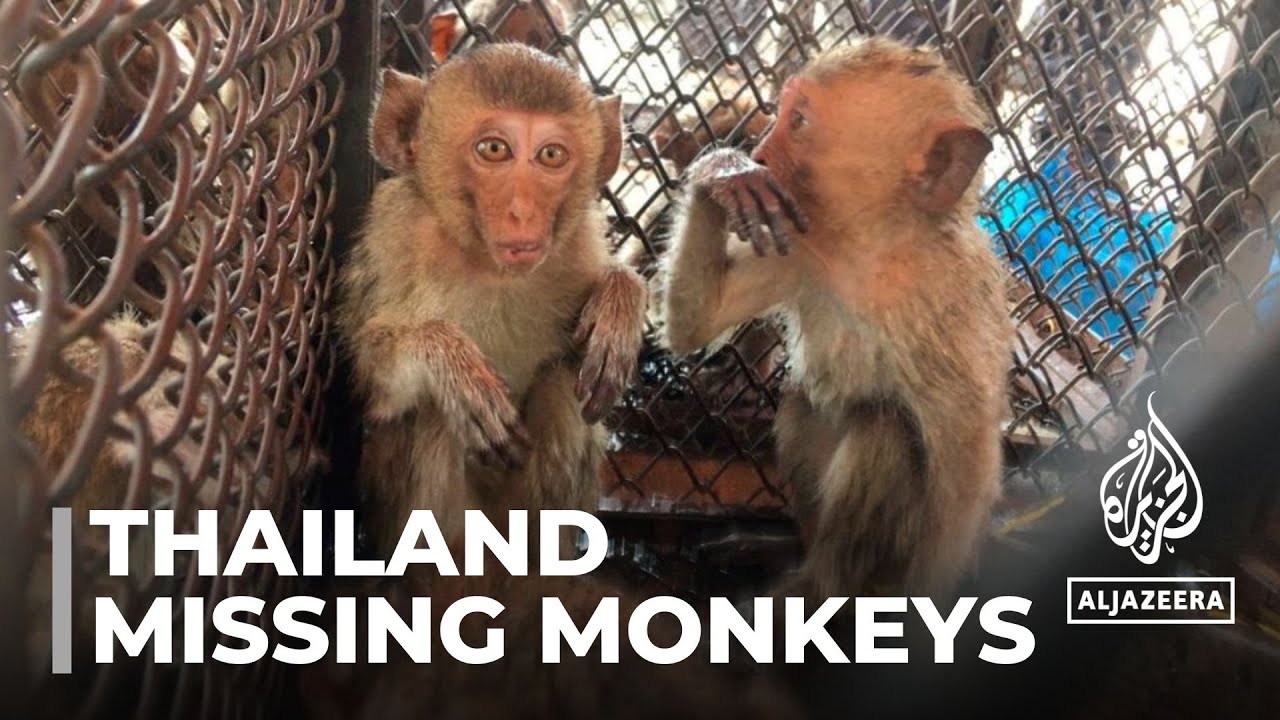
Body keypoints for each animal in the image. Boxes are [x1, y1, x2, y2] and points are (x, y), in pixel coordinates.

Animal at [334, 44, 648, 566]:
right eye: (494, 150)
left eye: (551, 155)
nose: (523, 211)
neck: (487, 264)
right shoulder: (391, 233)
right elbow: (371, 386)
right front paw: (446, 358)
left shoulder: (580, 241)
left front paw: (619, 300)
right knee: (435, 416)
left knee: (560, 388)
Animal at [660, 38, 1013, 600]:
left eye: (799, 120)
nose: (760, 155)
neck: (871, 251)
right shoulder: (800, 244)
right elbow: (694, 322)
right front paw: (724, 176)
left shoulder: (950, 293)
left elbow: (969, 449)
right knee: (804, 404)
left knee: (882, 431)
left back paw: (823, 585)